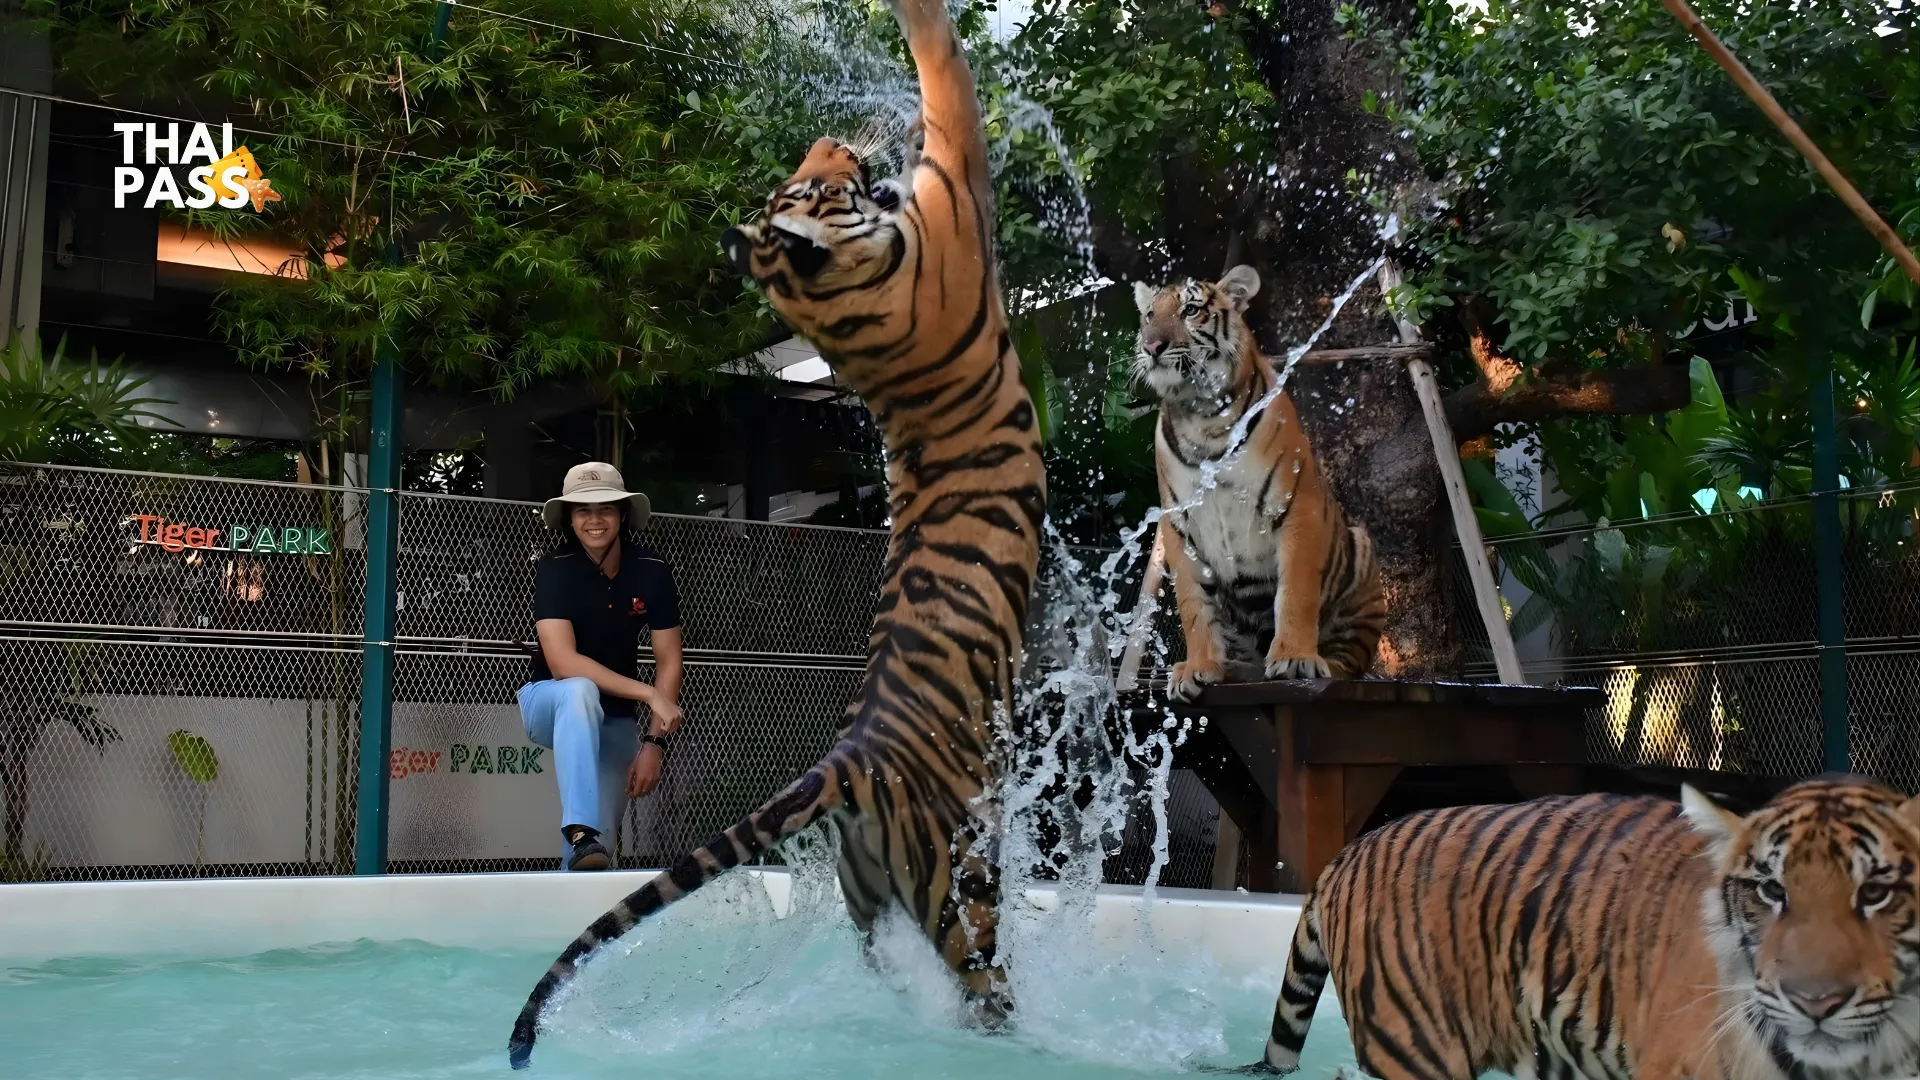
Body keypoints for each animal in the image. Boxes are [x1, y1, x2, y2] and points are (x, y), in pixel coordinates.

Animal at [505, 0, 1044, 1068]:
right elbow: (944, 71)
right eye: (814, 181)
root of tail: (849, 759)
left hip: (874, 895)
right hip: (963, 886)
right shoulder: (958, 188)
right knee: (985, 982)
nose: (839, 142)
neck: (846, 303)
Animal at [1132, 264, 1385, 701]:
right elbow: (1193, 606)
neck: (1203, 417)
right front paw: (1198, 667)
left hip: (1361, 557)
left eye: (1191, 310)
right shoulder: (1179, 526)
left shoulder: (1296, 505)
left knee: (1348, 664)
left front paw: (1294, 657)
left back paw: (1318, 664)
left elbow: (1296, 593)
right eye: (1149, 315)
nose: (1151, 346)